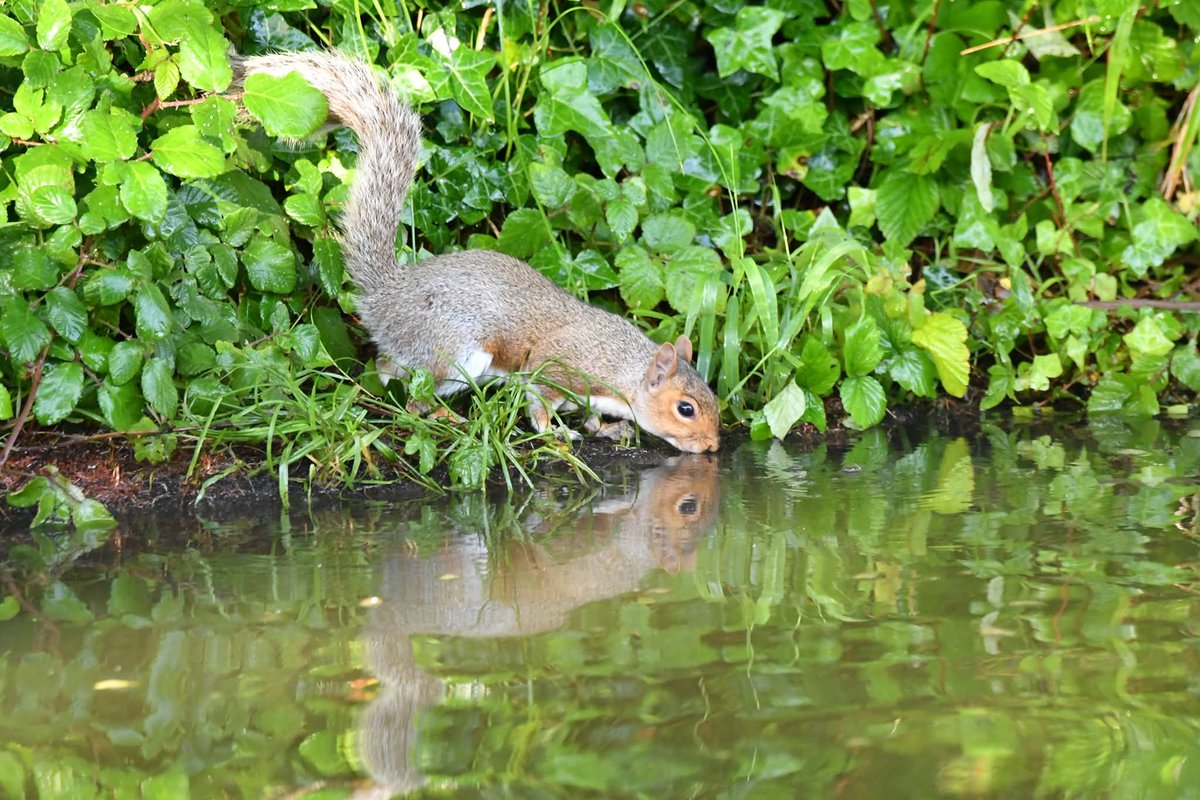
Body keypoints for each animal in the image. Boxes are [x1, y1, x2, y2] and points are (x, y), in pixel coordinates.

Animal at [238, 52, 719, 453]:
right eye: (686, 408)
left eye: (712, 397)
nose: (713, 446)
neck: (623, 365)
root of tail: (386, 293)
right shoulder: (555, 367)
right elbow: (540, 406)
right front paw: (558, 433)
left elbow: (590, 416)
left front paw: (604, 428)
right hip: (457, 352)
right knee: (416, 400)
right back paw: (447, 417)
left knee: (389, 366)